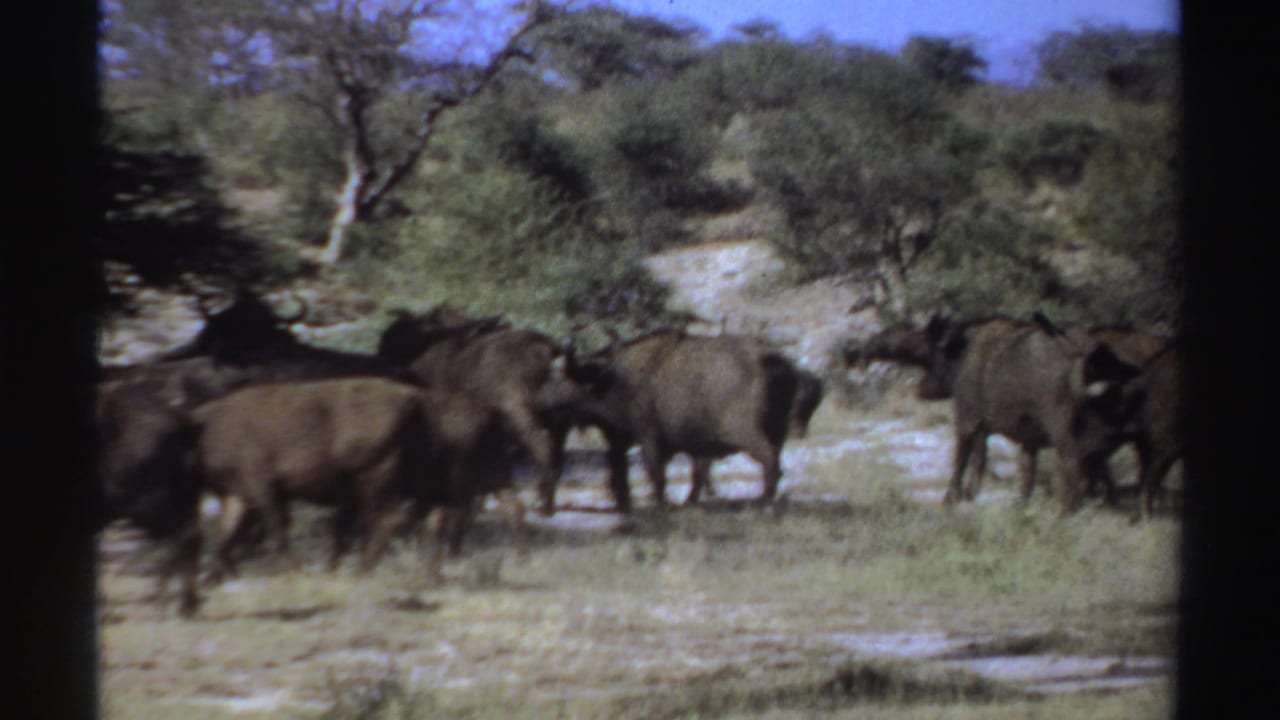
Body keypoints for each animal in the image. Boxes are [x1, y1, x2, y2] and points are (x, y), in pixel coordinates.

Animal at [191, 377, 518, 579]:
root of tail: (414, 401)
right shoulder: (238, 495)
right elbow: (226, 537)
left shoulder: (263, 488)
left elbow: (278, 530)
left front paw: (295, 570)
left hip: (376, 481)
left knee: (392, 521)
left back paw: (363, 571)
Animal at [569, 330, 822, 512]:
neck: (615, 377)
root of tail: (772, 360)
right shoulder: (697, 445)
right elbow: (696, 473)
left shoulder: (650, 439)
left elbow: (658, 474)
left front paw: (662, 503)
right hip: (776, 435)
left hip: (750, 436)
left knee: (770, 462)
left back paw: (763, 500)